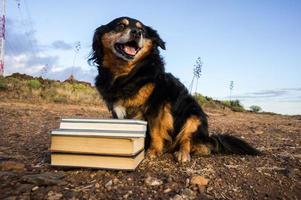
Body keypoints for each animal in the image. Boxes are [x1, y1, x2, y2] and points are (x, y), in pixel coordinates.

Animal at [88, 16, 258, 162]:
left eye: (142, 30)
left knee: (189, 141)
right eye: (120, 26)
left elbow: (155, 130)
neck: (127, 74)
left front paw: (153, 151)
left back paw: (183, 153)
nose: (137, 33)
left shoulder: (157, 106)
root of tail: (208, 138)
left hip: (193, 116)